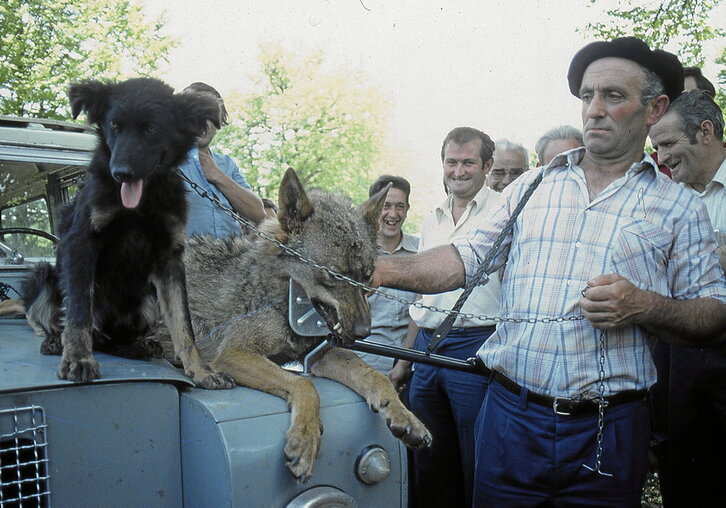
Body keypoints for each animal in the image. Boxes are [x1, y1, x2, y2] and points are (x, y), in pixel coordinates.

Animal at [22, 77, 235, 390]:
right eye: (114, 126)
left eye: (151, 129)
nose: (120, 173)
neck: (141, 203)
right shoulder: (80, 243)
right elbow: (78, 311)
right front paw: (78, 360)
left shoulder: (170, 257)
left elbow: (183, 323)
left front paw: (200, 370)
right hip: (44, 275)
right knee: (64, 322)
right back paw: (55, 342)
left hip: (149, 299)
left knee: (114, 340)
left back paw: (141, 346)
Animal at [156, 169, 432, 482]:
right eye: (333, 275)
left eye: (367, 276)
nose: (363, 332)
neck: (282, 296)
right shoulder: (233, 354)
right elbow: (304, 385)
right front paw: (305, 440)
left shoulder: (318, 356)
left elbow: (376, 377)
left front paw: (406, 418)